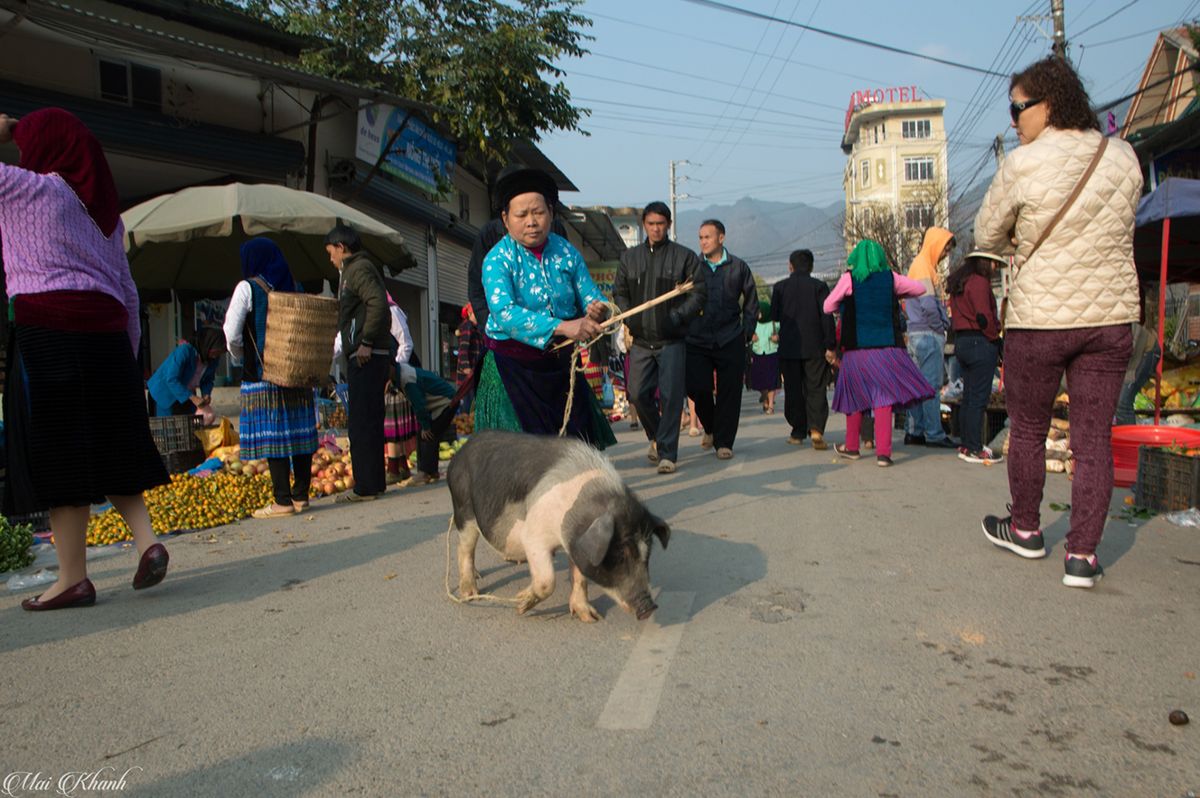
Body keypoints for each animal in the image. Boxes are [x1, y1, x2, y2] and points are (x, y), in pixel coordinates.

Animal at [448, 429, 676, 624]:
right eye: (619, 555)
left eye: (647, 555)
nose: (649, 607)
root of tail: (459, 454)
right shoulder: (533, 536)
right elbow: (547, 581)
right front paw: (520, 605)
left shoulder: (577, 544)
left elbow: (580, 577)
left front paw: (590, 618)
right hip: (463, 510)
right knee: (463, 548)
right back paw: (470, 594)